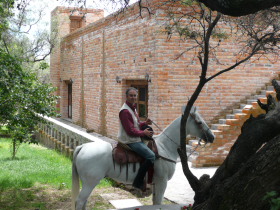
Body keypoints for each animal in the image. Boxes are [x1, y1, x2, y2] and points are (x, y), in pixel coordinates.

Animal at [71, 106, 214, 210]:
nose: (212, 137)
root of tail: (82, 147)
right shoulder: (162, 181)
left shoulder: (156, 183)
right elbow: (158, 203)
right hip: (90, 182)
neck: (165, 147)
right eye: (199, 122)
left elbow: (155, 203)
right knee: (80, 201)